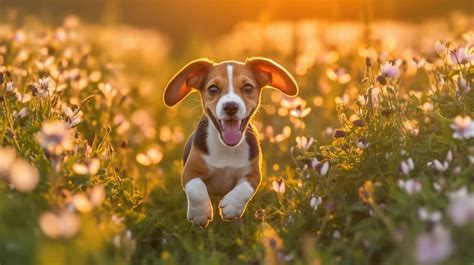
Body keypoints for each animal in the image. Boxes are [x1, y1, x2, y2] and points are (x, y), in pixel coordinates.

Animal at [163, 56, 296, 226]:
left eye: (247, 87)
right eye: (213, 89)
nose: (231, 107)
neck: (227, 148)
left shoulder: (254, 174)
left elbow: (245, 188)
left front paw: (232, 206)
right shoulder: (189, 171)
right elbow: (196, 188)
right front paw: (200, 214)